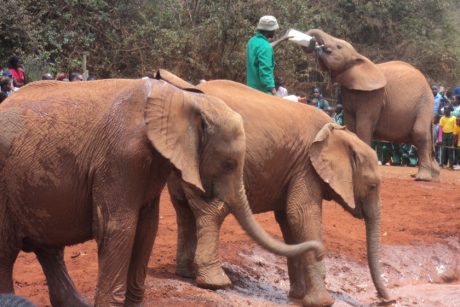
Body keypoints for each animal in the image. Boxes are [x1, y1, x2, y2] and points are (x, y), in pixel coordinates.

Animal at [0, 80, 322, 307]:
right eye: (230, 163)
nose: (319, 250)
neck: (182, 97)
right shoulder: (120, 158)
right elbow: (117, 228)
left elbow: (146, 229)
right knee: (8, 251)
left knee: (48, 249)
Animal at [157, 73, 388, 307]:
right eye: (372, 186)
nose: (385, 299)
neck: (340, 133)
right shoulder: (306, 167)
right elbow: (301, 215)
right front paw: (321, 302)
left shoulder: (295, 168)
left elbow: (289, 220)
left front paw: (296, 297)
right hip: (208, 159)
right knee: (211, 212)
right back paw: (215, 283)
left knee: (184, 211)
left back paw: (186, 274)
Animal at [304, 28, 440, 182]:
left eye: (338, 46)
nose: (313, 44)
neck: (359, 57)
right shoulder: (348, 93)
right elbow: (350, 126)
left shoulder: (374, 96)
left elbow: (363, 126)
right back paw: (432, 177)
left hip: (425, 102)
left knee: (419, 133)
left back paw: (422, 178)